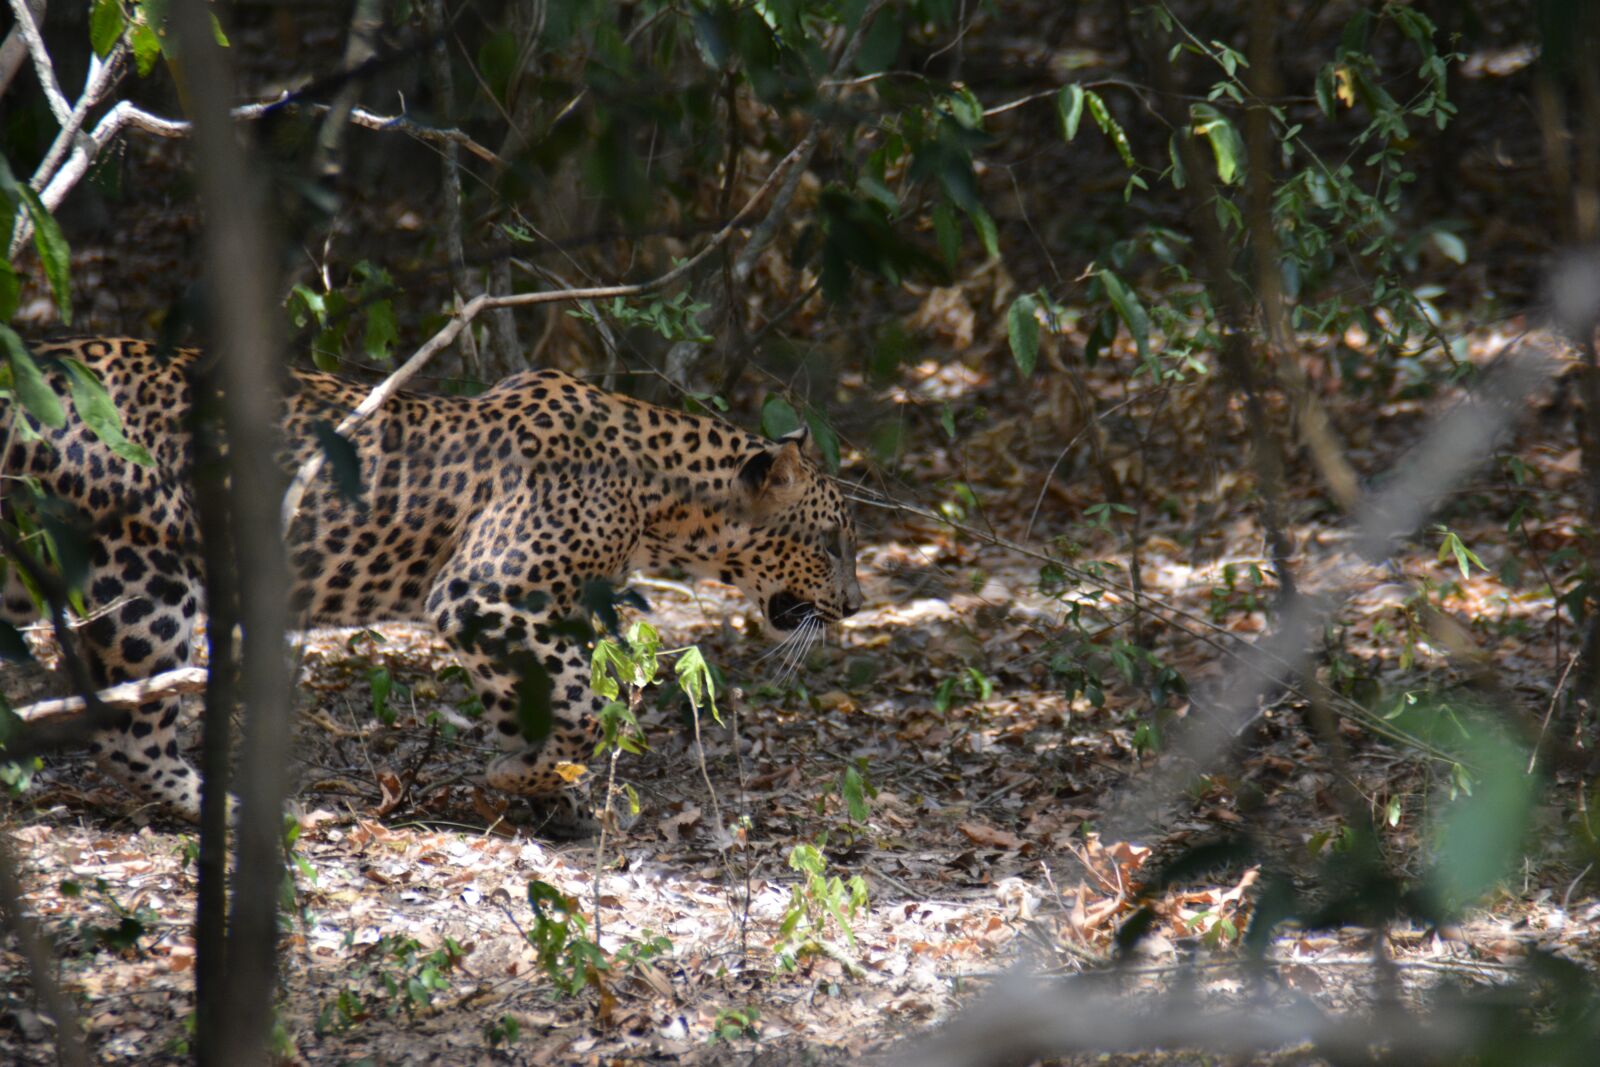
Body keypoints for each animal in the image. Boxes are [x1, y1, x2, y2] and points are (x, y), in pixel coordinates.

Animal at [1, 337, 863, 827]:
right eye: (830, 543)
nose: (854, 606)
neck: (660, 497)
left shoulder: (521, 612)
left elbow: (534, 702)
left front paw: (538, 789)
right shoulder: (485, 591)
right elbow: (587, 705)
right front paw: (527, 776)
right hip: (151, 579)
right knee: (124, 730)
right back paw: (241, 812)